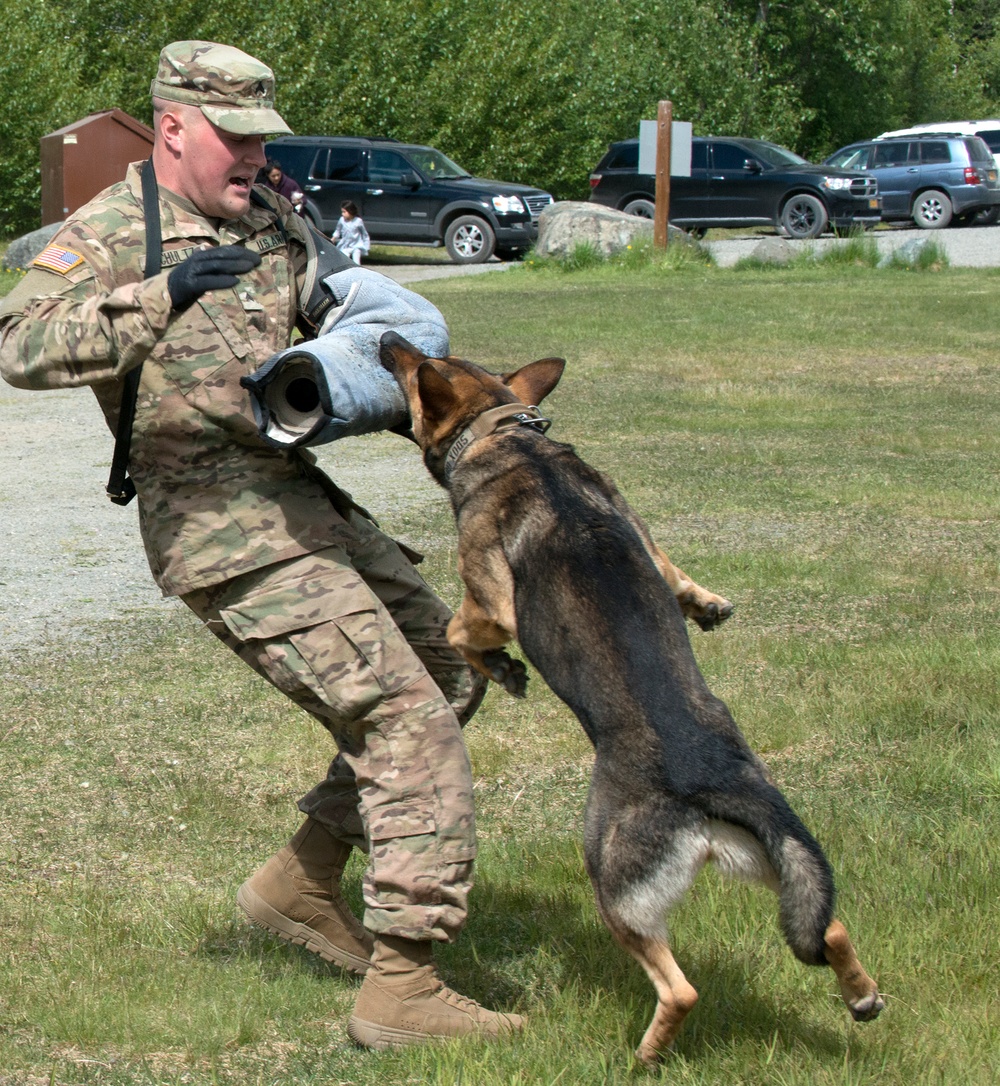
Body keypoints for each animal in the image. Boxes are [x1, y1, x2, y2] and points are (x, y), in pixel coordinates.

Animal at [380, 332, 881, 1068]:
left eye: (419, 368)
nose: (387, 339)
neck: (509, 436)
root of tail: (710, 787)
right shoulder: (642, 531)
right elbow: (672, 571)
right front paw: (706, 604)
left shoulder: (492, 598)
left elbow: (458, 630)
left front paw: (503, 670)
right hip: (776, 862)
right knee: (830, 929)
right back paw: (862, 997)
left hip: (610, 877)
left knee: (682, 989)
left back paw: (645, 1054)